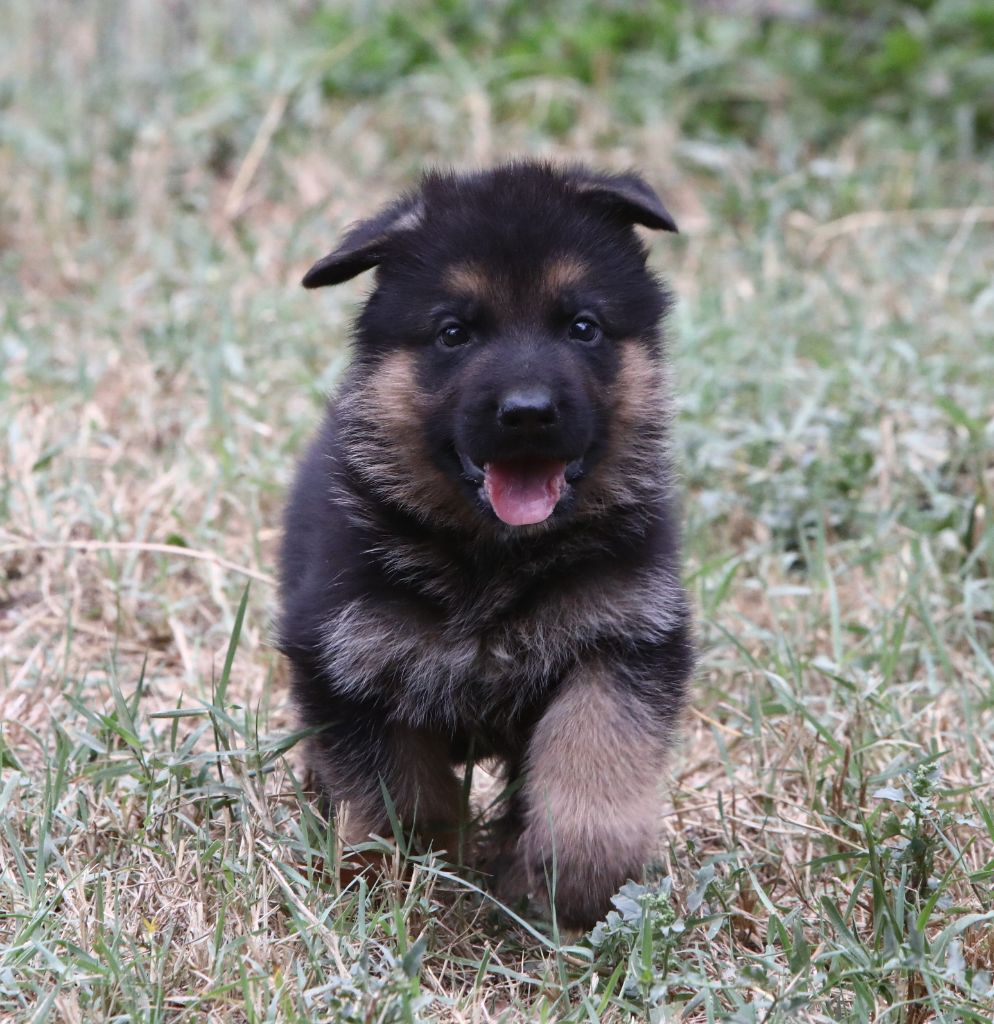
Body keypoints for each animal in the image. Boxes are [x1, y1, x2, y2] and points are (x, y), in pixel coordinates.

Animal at [280, 159, 696, 929]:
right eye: (453, 333)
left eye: (583, 327)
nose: (527, 413)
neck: (496, 557)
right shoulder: (345, 658)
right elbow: (397, 793)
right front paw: (400, 882)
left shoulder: (624, 639)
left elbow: (596, 755)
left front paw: (568, 880)